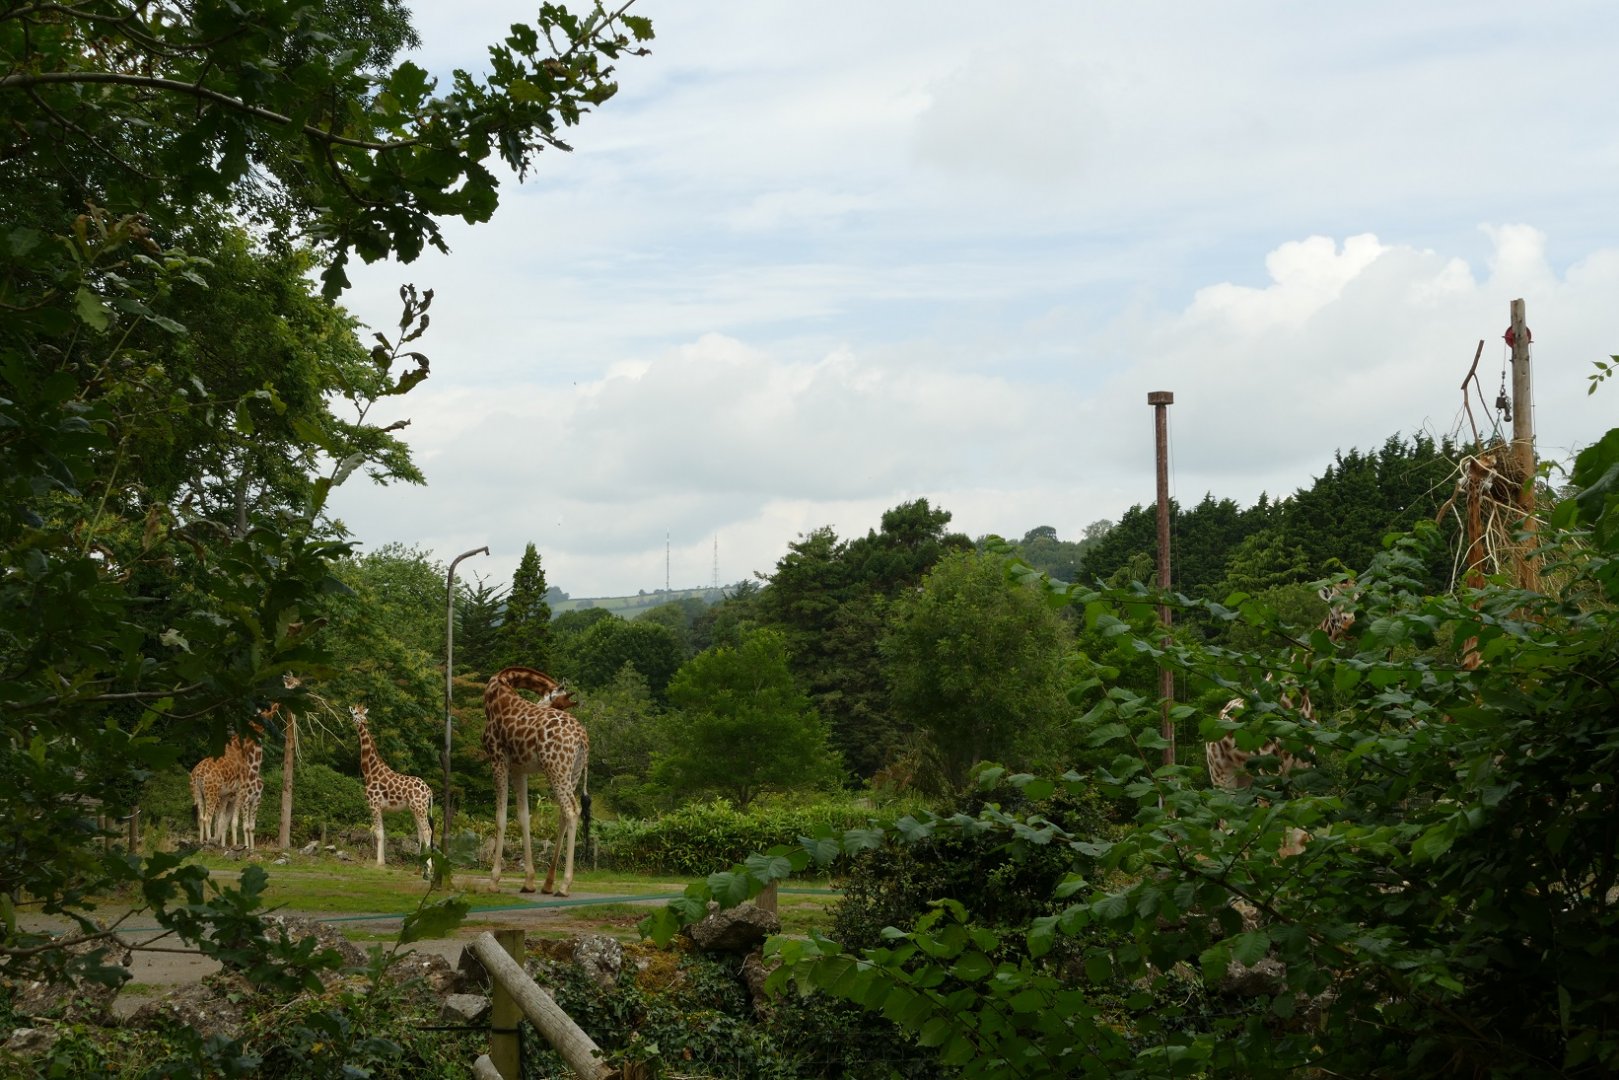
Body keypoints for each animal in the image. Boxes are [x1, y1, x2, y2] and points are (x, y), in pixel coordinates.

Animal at [349, 704, 434, 867]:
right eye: (356, 713)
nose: (364, 721)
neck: (369, 771)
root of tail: (429, 791)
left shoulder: (374, 804)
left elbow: (378, 833)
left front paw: (379, 863)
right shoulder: (380, 807)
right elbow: (382, 832)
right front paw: (382, 861)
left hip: (419, 808)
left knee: (427, 831)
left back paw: (428, 866)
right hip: (415, 809)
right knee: (420, 833)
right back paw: (419, 865)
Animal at [482, 666, 587, 896]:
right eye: (559, 705)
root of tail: (582, 739)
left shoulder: (498, 759)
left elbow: (500, 818)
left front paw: (493, 881)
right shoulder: (519, 769)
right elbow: (524, 817)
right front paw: (529, 881)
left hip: (555, 769)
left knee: (571, 811)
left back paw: (564, 885)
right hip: (572, 773)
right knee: (564, 814)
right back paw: (548, 883)